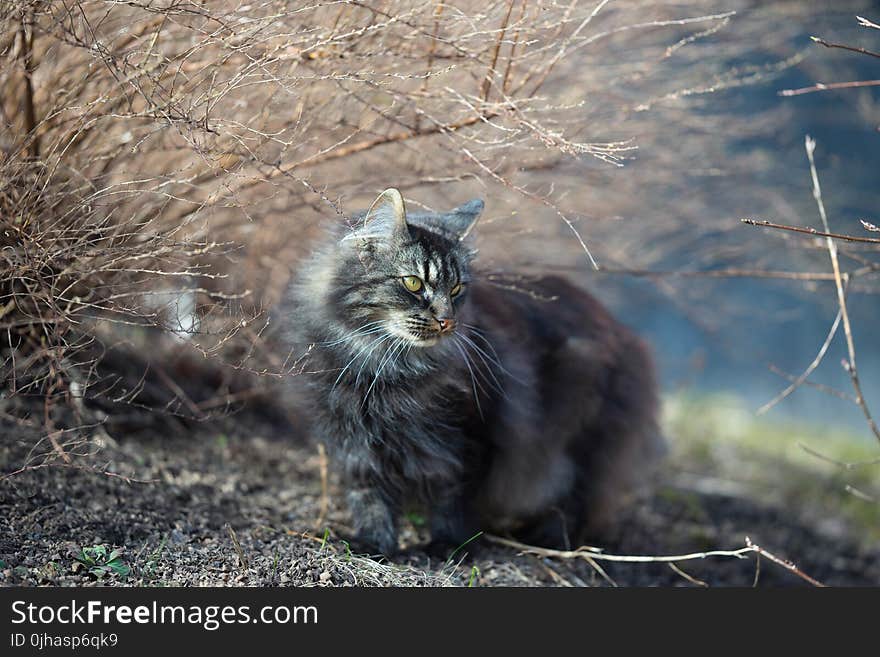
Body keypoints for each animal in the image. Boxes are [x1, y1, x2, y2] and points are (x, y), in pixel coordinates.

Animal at [286, 188, 664, 552]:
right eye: (413, 284)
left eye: (456, 289)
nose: (447, 321)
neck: (383, 367)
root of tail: (625, 332)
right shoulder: (354, 443)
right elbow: (370, 499)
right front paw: (373, 544)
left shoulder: (470, 438)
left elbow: (454, 500)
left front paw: (448, 546)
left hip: (582, 434)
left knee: (575, 501)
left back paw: (546, 539)